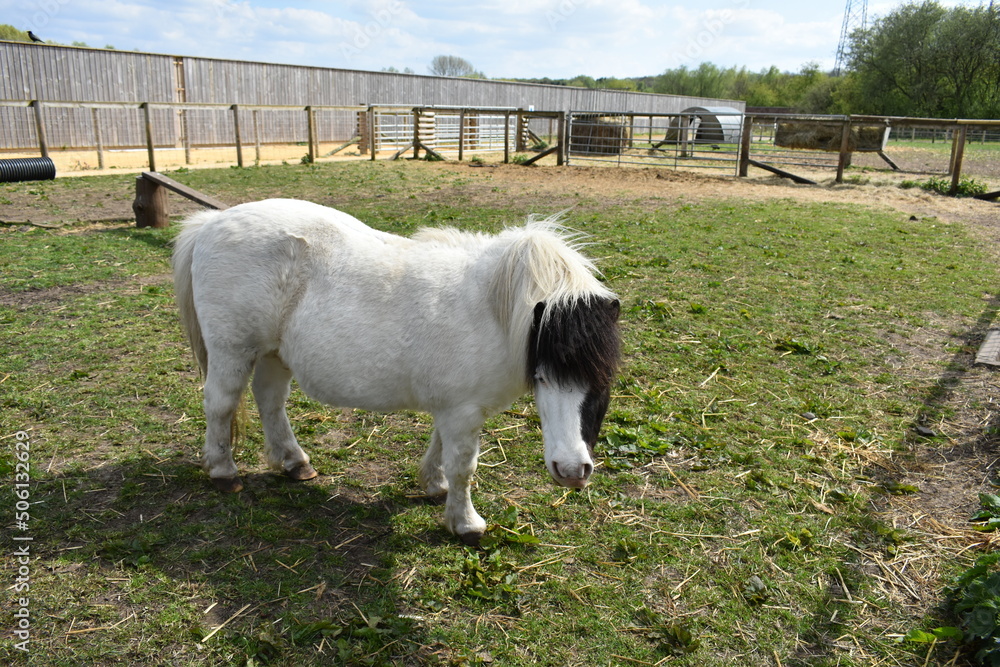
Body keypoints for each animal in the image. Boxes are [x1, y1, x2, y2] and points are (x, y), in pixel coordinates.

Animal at [171, 198, 621, 544]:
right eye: (543, 376)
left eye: (602, 382)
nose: (573, 471)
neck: (494, 311)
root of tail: (210, 223)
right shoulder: (463, 411)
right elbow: (464, 466)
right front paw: (465, 523)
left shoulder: (453, 408)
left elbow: (441, 449)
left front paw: (434, 485)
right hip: (233, 351)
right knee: (221, 405)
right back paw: (223, 471)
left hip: (274, 354)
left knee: (270, 402)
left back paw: (294, 462)